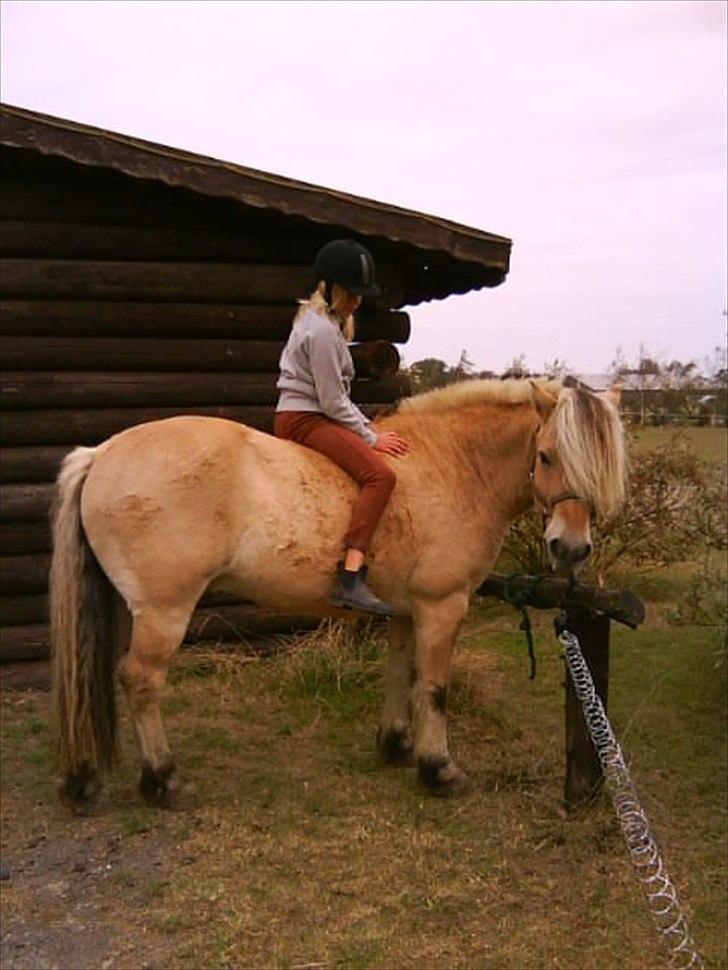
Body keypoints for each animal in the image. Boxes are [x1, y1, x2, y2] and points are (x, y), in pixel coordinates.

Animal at [49, 378, 624, 808]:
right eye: (546, 456)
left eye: (601, 465)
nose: (570, 548)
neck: (451, 463)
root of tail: (102, 454)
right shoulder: (442, 605)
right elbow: (434, 686)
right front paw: (438, 769)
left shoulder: (405, 609)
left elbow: (403, 674)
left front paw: (396, 744)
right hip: (164, 610)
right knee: (141, 679)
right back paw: (164, 779)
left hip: (128, 608)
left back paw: (87, 777)